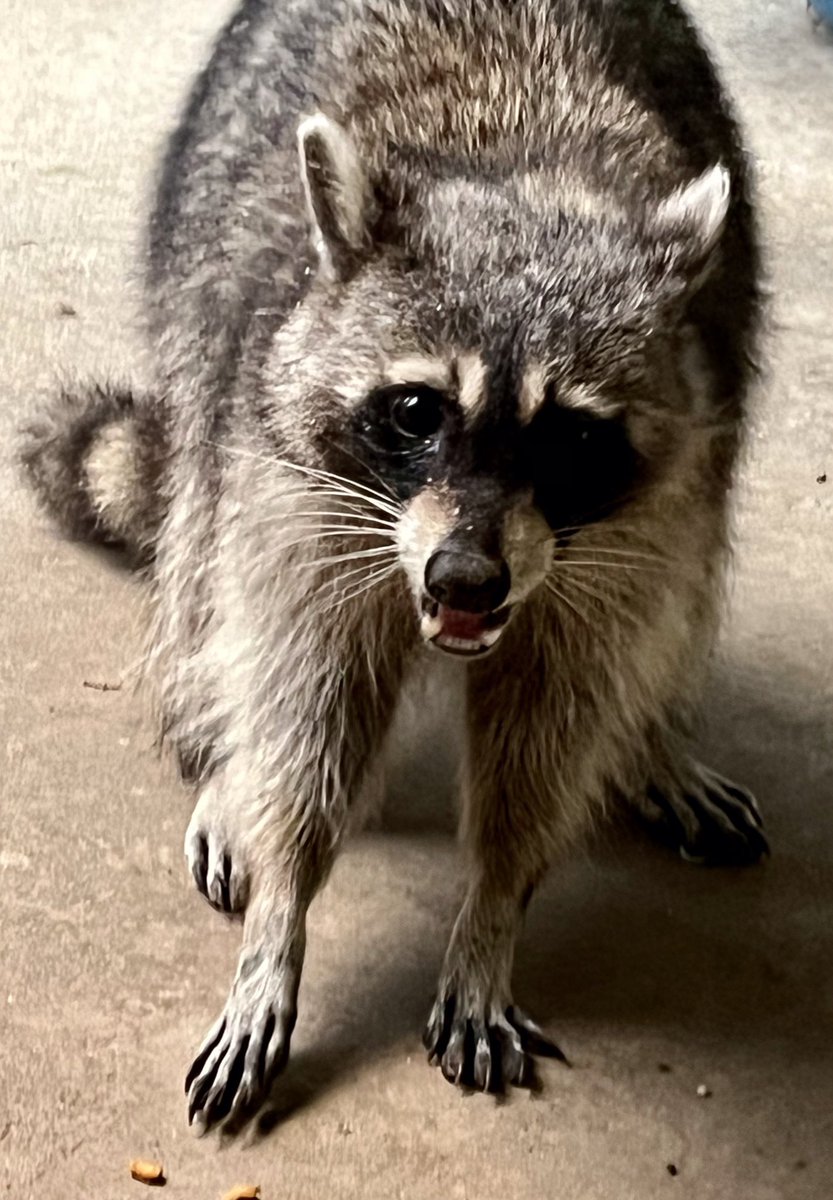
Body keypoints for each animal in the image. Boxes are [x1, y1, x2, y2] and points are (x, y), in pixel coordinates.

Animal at [21, 0, 768, 1131]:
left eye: (568, 437)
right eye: (417, 410)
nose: (464, 579)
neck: (518, 174)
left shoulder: (620, 538)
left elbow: (555, 720)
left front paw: (494, 906)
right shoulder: (302, 494)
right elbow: (311, 705)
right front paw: (279, 916)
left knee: (679, 601)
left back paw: (651, 741)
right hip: (204, 304)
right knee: (201, 550)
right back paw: (220, 746)